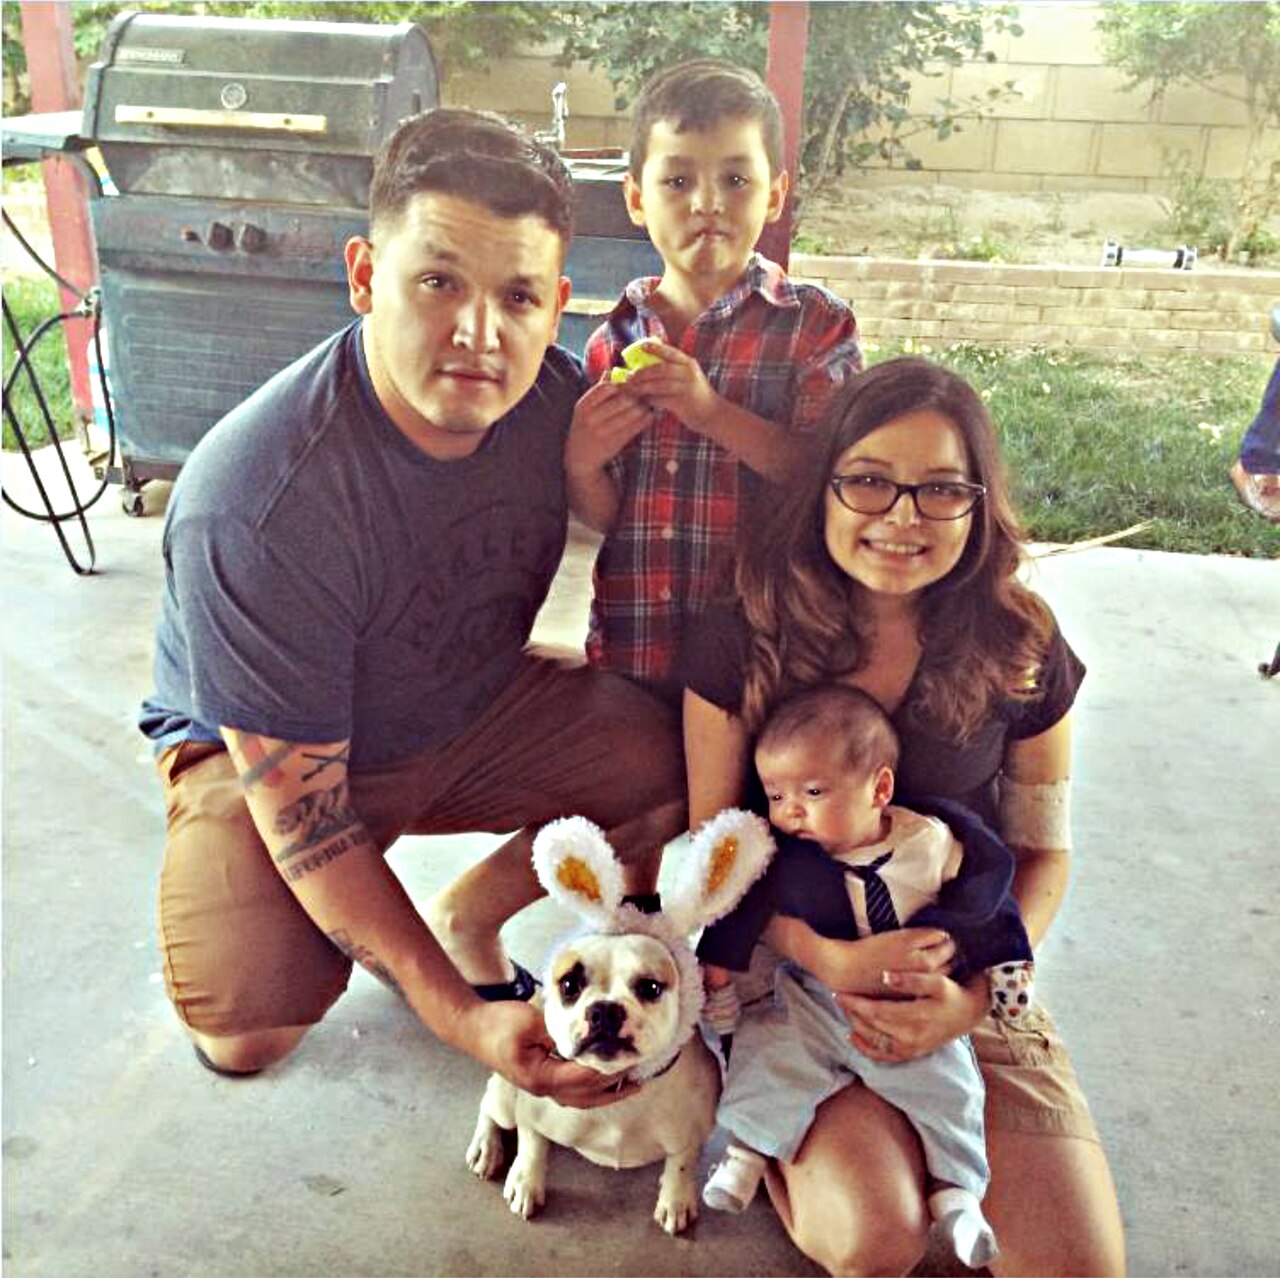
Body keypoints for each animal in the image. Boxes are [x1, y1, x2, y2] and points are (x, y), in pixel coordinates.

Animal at [465, 814, 773, 1234]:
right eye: (569, 985)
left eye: (651, 987)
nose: (606, 1011)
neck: (621, 1092)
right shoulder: (532, 1112)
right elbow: (533, 1145)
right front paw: (527, 1181)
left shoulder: (689, 1135)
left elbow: (680, 1165)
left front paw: (676, 1200)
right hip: (506, 1093)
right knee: (490, 1106)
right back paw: (487, 1146)